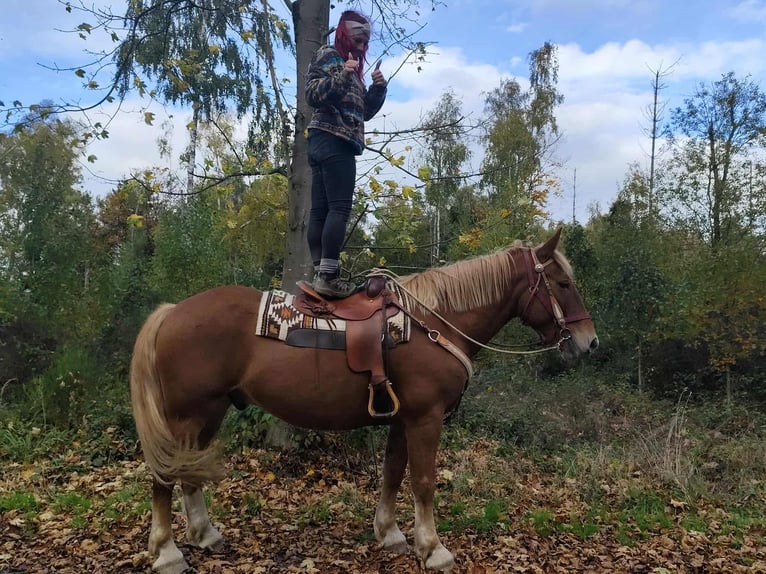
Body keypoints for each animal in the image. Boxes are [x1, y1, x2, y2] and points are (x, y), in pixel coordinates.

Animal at [130, 228, 598, 574]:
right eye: (562, 284)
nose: (589, 343)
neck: (433, 321)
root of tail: (172, 312)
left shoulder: (402, 419)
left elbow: (392, 473)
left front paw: (390, 534)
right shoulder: (425, 418)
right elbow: (423, 482)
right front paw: (433, 548)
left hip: (211, 411)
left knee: (189, 475)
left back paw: (205, 534)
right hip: (187, 415)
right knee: (164, 477)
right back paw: (168, 553)